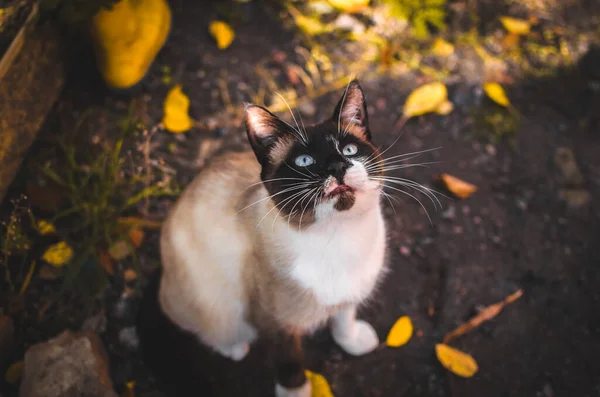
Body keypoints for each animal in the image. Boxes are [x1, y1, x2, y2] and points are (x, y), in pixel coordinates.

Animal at [157, 80, 386, 396]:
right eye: (304, 161)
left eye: (349, 150)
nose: (338, 168)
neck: (338, 236)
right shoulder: (277, 324)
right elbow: (290, 366)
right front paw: (298, 391)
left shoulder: (351, 292)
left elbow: (343, 320)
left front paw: (354, 343)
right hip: (219, 306)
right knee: (203, 325)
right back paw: (234, 348)